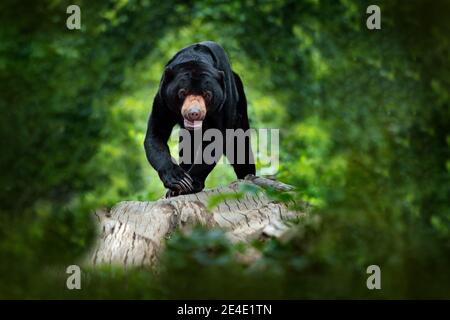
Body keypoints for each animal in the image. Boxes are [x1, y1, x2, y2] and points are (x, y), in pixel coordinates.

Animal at [145, 41, 255, 196]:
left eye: (207, 94)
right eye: (182, 92)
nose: (194, 113)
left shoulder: (223, 103)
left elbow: (216, 141)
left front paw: (191, 184)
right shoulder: (163, 100)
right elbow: (156, 135)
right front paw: (179, 181)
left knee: (240, 146)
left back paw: (248, 177)